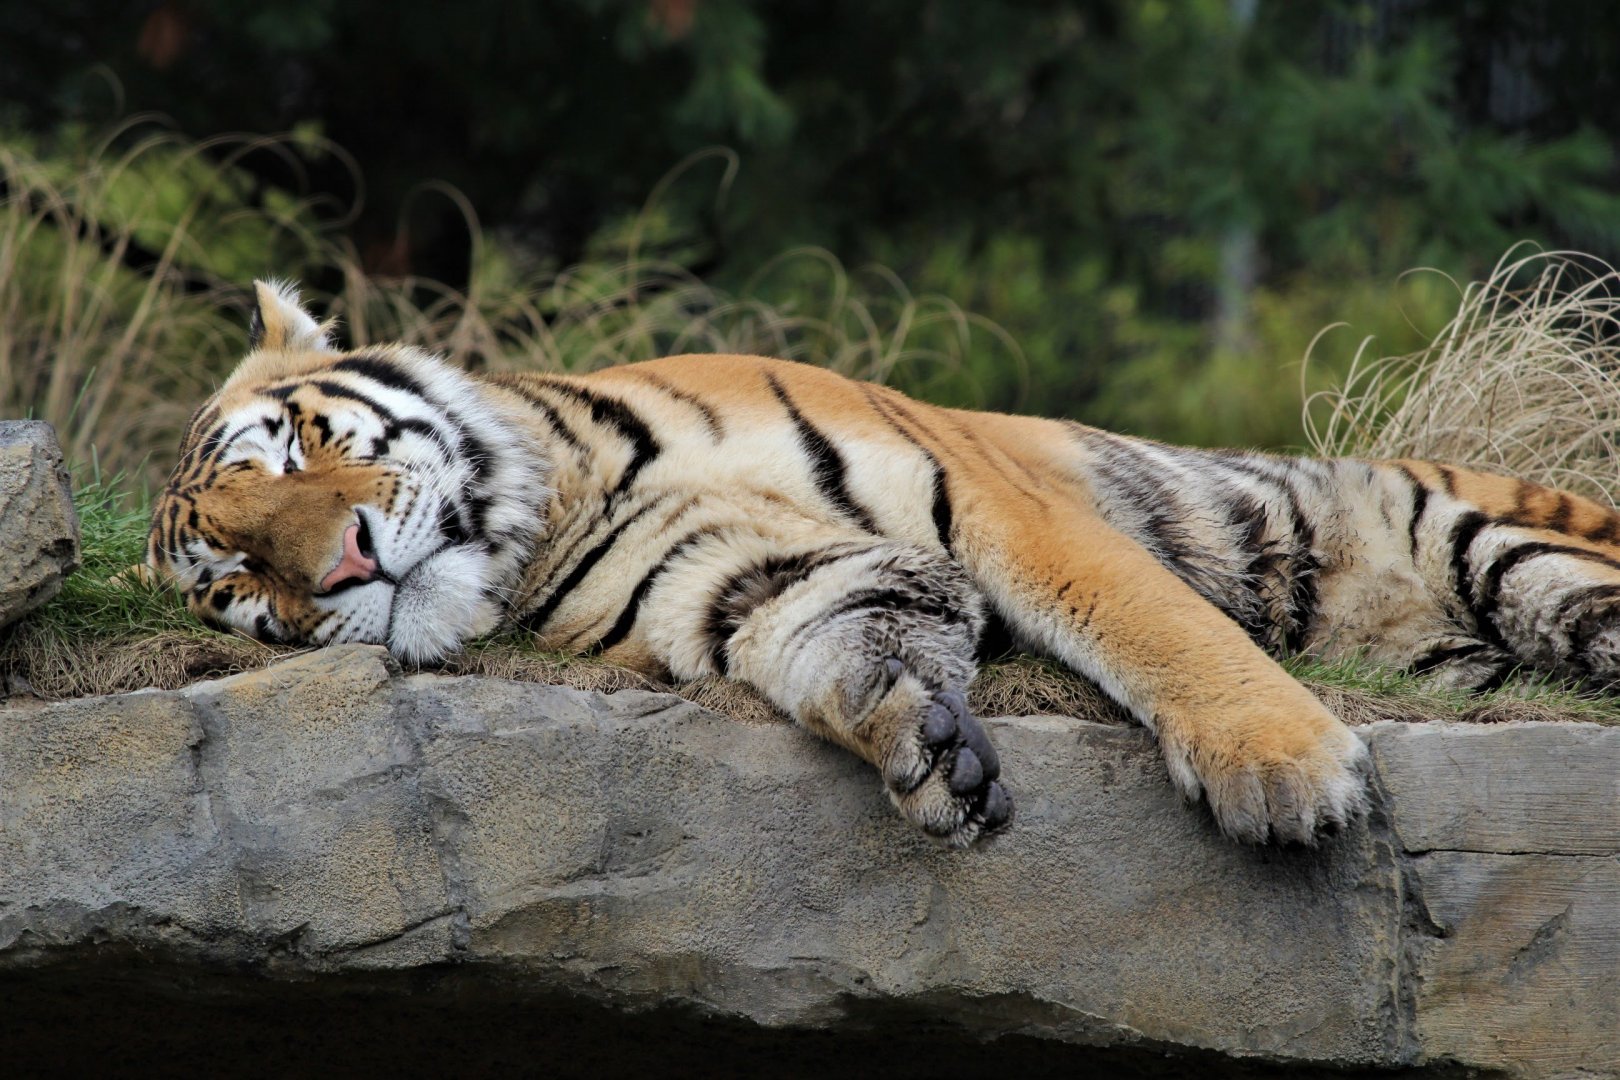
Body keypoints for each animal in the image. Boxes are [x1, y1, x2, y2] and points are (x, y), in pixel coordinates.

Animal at [146, 281, 1620, 849]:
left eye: (299, 445)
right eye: (236, 583)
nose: (340, 567)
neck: (554, 507)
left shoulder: (996, 499)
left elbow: (1149, 620)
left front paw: (1283, 767)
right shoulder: (740, 578)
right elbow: (837, 638)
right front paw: (929, 751)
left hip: (1508, 548)